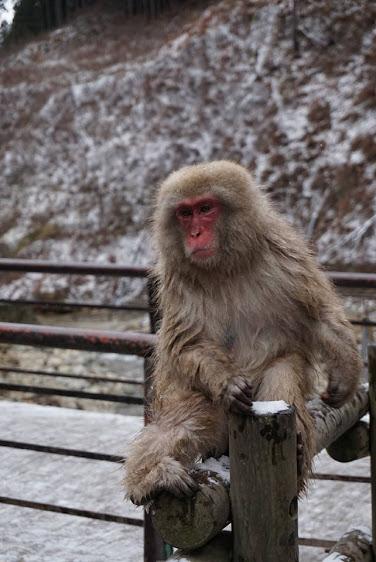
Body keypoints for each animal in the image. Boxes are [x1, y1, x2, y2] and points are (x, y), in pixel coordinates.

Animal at [123, 160, 362, 500]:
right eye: (184, 213)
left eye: (205, 208)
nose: (195, 233)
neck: (227, 267)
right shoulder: (179, 282)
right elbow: (186, 344)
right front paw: (227, 382)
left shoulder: (286, 254)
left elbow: (319, 315)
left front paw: (346, 372)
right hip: (207, 411)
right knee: (183, 422)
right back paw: (153, 476)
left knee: (281, 374)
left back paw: (298, 452)